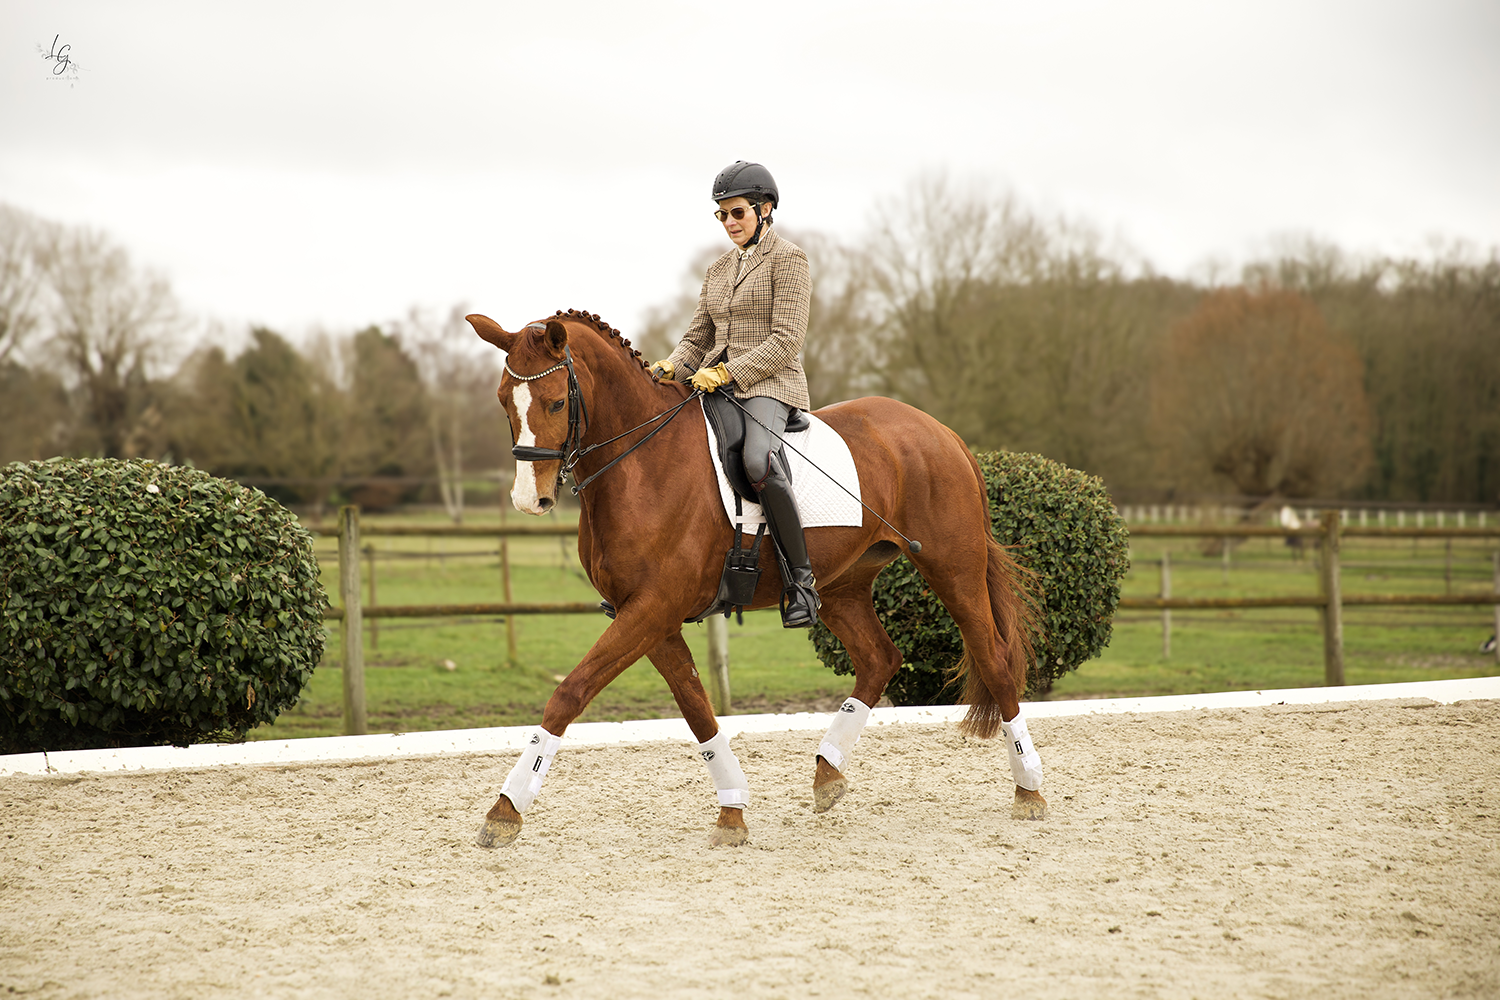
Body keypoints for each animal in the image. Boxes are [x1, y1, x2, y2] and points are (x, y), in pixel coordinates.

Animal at [468, 309, 1047, 849]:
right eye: (503, 401)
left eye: (555, 403)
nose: (530, 500)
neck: (641, 464)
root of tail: (940, 430)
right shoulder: (649, 614)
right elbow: (697, 708)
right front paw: (732, 810)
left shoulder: (653, 607)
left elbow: (571, 692)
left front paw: (505, 810)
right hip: (842, 585)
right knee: (880, 658)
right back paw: (828, 774)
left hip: (953, 568)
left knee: (995, 660)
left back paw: (1029, 790)